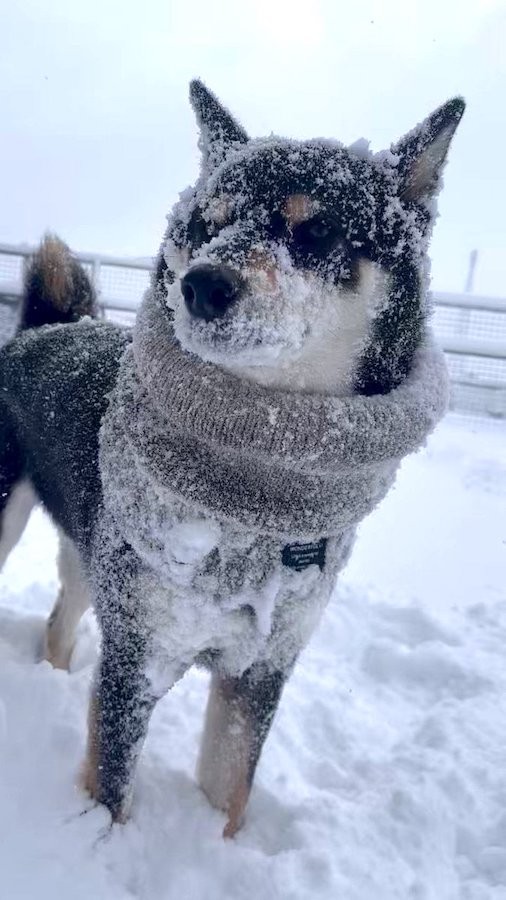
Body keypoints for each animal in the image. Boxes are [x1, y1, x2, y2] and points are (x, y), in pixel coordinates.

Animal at [0, 81, 464, 832]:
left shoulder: (260, 669)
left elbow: (230, 793)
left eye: (315, 231)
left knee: (59, 618)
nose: (202, 285)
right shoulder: (137, 656)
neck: (260, 490)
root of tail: (42, 327)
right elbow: (112, 795)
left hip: (88, 550)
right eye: (205, 225)